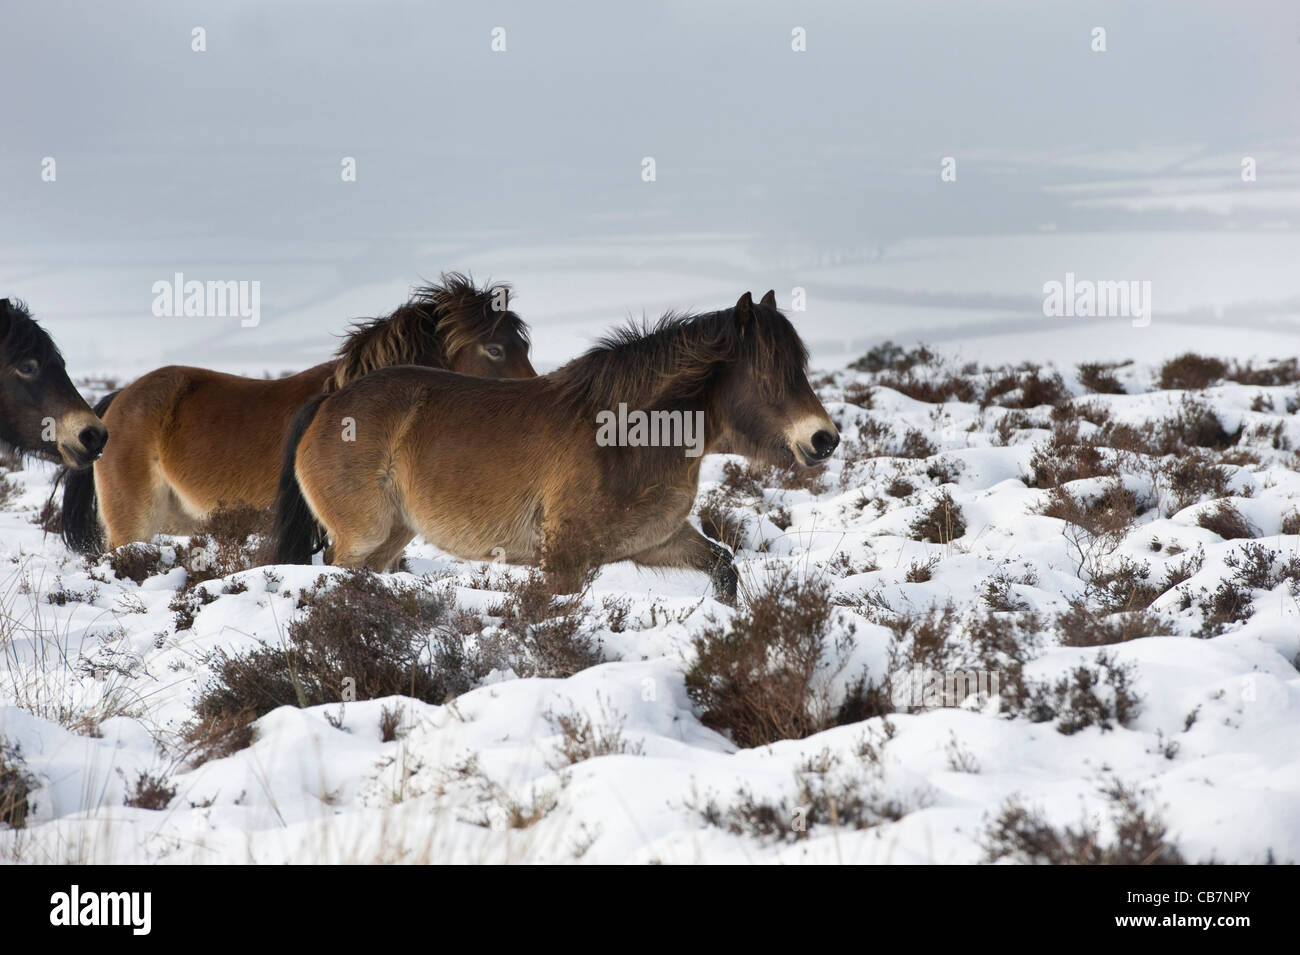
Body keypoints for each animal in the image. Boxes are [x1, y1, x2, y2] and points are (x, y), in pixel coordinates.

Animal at [271, 291, 842, 605]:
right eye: (770, 376)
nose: (824, 439)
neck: (626, 432)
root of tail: (329, 401)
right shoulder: (565, 561)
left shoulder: (656, 539)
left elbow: (723, 566)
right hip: (362, 537)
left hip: (392, 536)